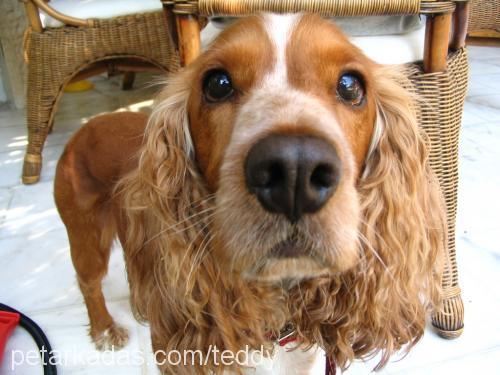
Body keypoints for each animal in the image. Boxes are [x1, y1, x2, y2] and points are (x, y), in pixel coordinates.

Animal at [54, 13, 446, 374]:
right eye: (217, 84)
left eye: (351, 85)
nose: (295, 170)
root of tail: (87, 126)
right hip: (87, 238)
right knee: (88, 283)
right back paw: (104, 329)